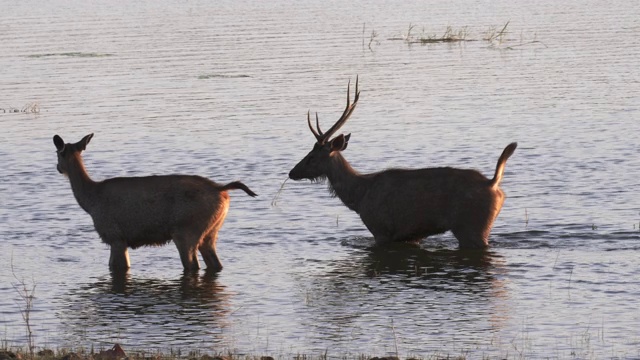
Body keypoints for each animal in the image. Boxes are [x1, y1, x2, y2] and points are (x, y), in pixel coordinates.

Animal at [53, 134, 258, 272]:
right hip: (211, 231)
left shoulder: (114, 235)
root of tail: (221, 189)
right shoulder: (121, 239)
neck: (90, 201)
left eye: (57, 154)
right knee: (214, 263)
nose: (57, 167)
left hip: (185, 230)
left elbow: (117, 267)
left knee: (192, 265)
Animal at [288, 77, 516, 249]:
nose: (291, 172)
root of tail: (493, 183)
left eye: (311, 157)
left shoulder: (381, 230)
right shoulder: (409, 235)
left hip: (471, 226)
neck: (358, 196)